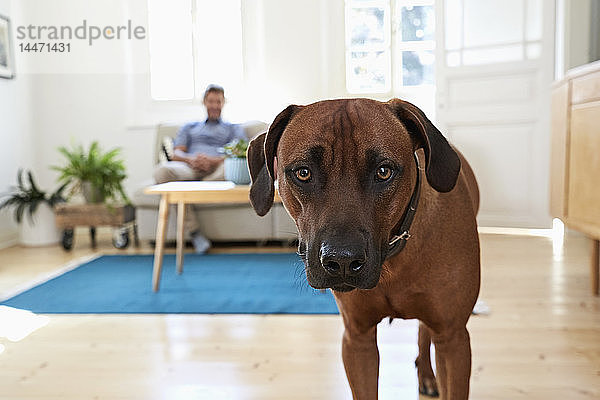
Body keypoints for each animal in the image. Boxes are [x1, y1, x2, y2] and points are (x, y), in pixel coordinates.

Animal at [246, 97, 480, 400]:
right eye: (303, 173)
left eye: (383, 171)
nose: (342, 261)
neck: (393, 259)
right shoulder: (357, 340)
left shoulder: (454, 340)